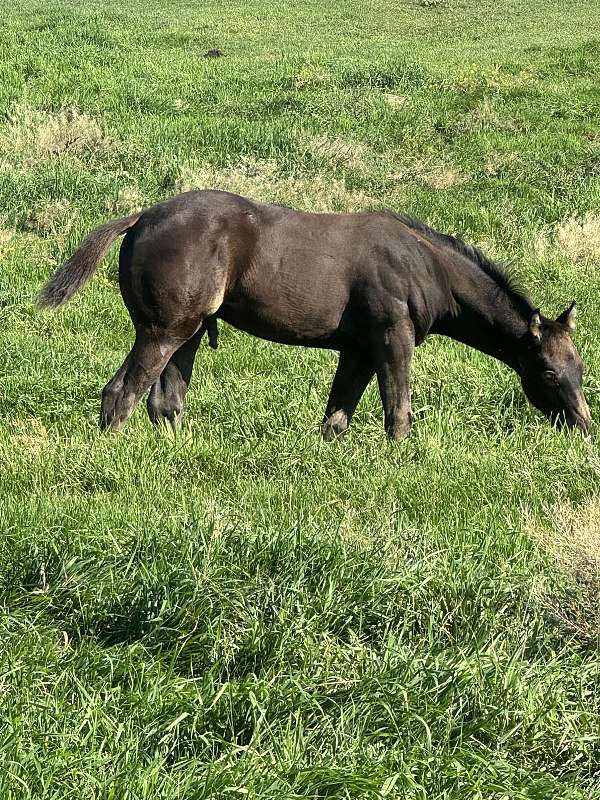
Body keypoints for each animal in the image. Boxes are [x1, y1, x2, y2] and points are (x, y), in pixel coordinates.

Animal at [38, 190, 592, 439]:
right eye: (547, 373)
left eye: (581, 369)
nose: (584, 427)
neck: (423, 264)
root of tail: (141, 217)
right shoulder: (393, 338)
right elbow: (398, 412)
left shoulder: (358, 349)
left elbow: (336, 418)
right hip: (162, 329)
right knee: (121, 393)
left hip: (188, 332)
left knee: (165, 401)